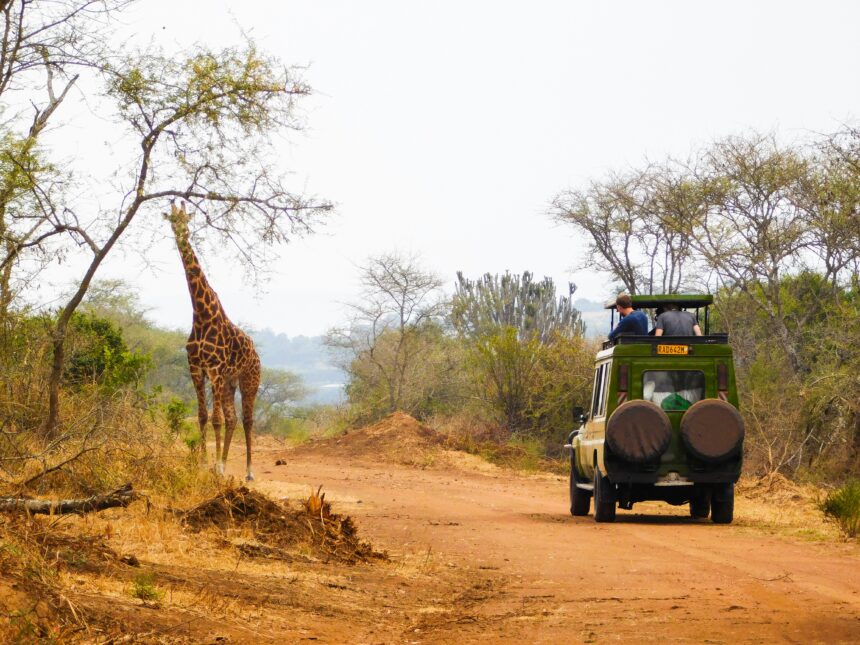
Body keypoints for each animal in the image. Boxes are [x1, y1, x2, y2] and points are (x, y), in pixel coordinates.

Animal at [165, 202, 261, 481]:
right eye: (172, 219)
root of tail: (257, 353)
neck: (201, 314)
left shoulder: (215, 369)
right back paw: (226, 464)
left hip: (249, 381)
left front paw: (214, 466)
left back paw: (249, 471)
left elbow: (215, 419)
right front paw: (203, 464)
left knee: (247, 420)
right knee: (232, 419)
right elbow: (203, 416)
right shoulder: (197, 369)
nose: (181, 233)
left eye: (186, 220)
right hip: (229, 383)